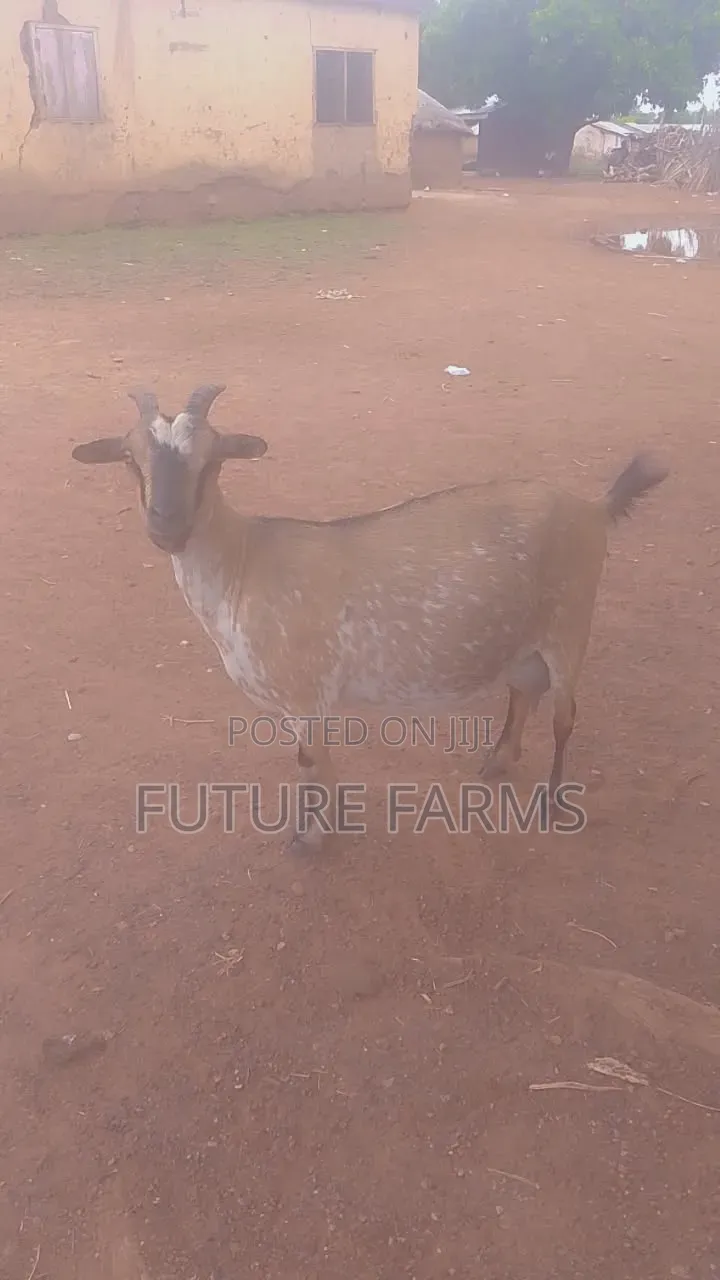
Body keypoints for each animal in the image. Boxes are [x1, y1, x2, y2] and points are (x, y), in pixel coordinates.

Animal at [72, 384, 668, 851]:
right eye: (130, 459)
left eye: (213, 459)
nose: (167, 526)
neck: (243, 562)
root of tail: (593, 508)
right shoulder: (307, 702)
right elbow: (317, 762)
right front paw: (329, 822)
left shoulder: (305, 693)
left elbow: (309, 760)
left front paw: (311, 837)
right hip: (525, 637)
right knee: (524, 691)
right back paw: (497, 762)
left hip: (571, 623)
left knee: (565, 716)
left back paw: (551, 799)